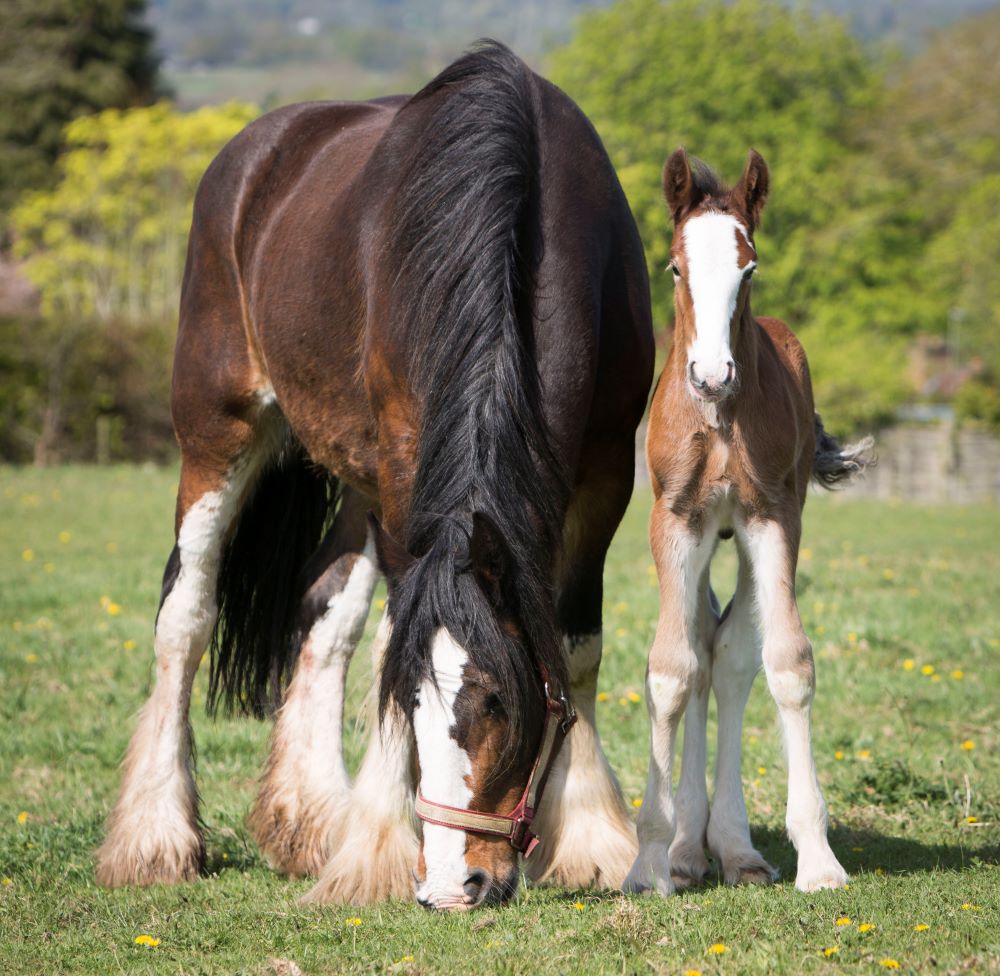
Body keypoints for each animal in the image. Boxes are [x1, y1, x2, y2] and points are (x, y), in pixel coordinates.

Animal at [95, 43, 656, 916]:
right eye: (419, 703)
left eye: (499, 702)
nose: (456, 883)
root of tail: (253, 153)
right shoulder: (404, 467)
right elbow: (399, 639)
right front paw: (377, 854)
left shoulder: (604, 474)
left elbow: (575, 648)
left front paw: (592, 843)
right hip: (218, 432)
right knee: (184, 615)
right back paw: (153, 839)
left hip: (353, 476)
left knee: (322, 613)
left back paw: (306, 819)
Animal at [624, 149, 876, 896]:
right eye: (675, 267)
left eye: (750, 268)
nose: (711, 374)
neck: (720, 418)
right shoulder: (676, 520)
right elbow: (671, 670)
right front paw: (650, 862)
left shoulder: (773, 520)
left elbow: (786, 662)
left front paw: (818, 859)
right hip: (709, 535)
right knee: (703, 649)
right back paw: (688, 848)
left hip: (745, 534)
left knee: (731, 654)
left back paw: (734, 846)